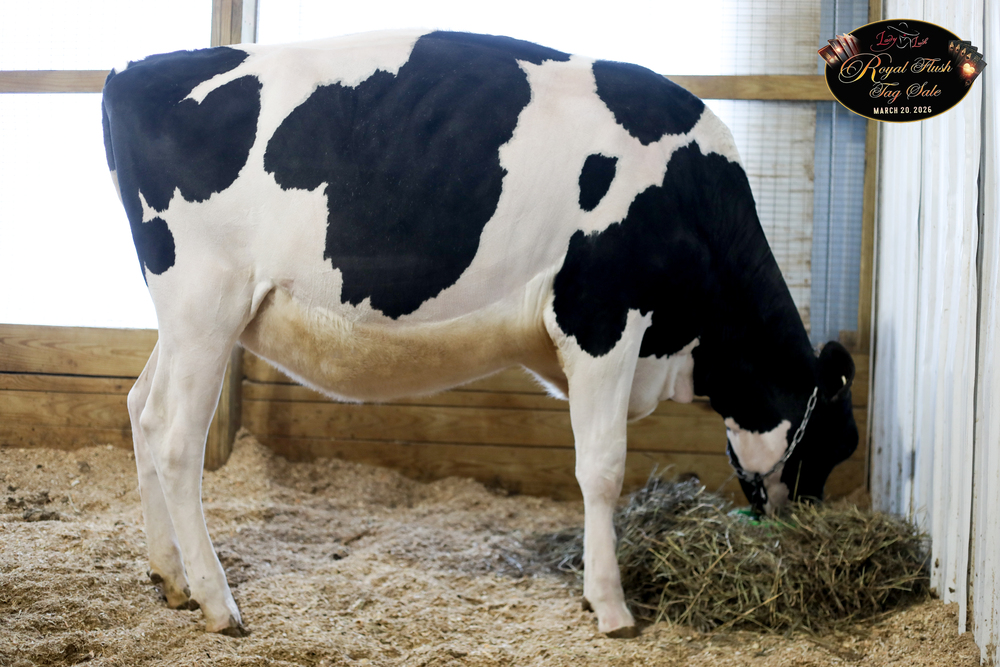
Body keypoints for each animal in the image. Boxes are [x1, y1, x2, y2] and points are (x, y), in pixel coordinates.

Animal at [101, 30, 859, 638]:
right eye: (842, 440)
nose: (804, 527)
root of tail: (134, 70)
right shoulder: (601, 317)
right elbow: (603, 468)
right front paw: (610, 606)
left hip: (192, 315)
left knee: (142, 409)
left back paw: (169, 577)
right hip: (206, 298)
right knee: (176, 438)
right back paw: (217, 601)